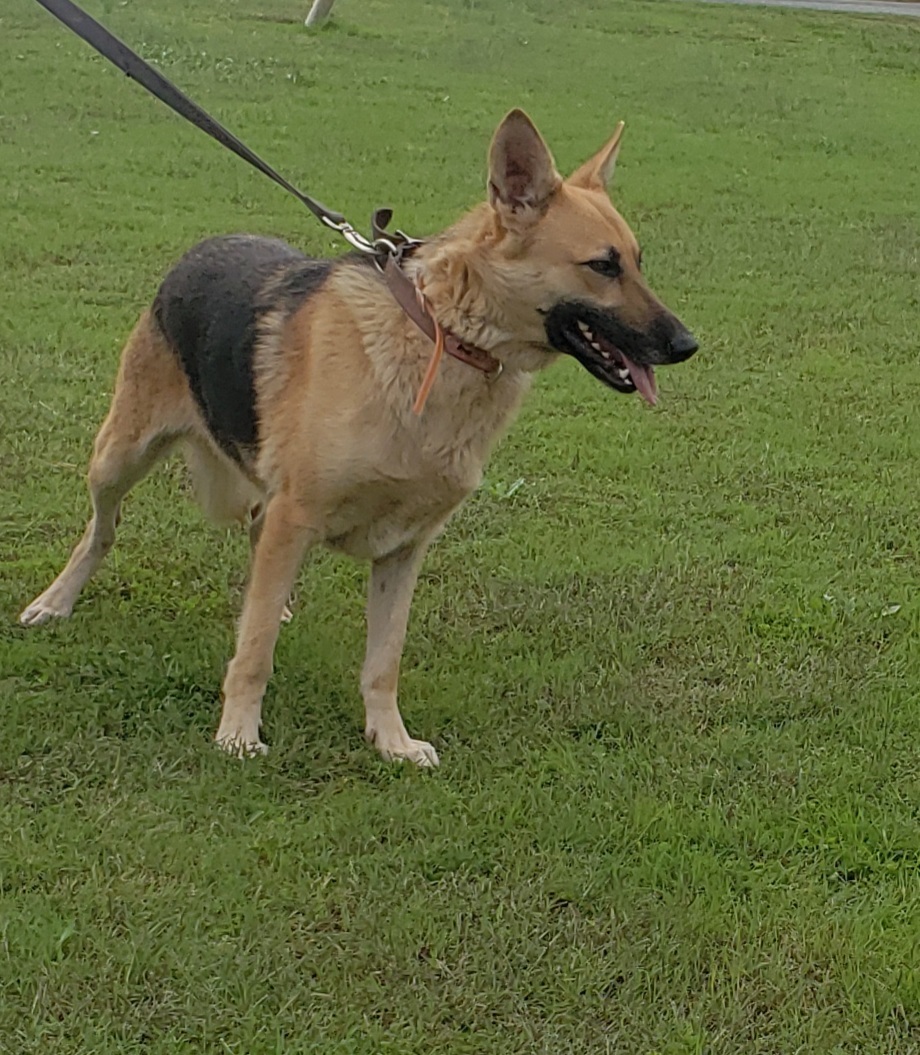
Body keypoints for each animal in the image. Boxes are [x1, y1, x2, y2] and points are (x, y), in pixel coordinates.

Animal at [19, 109, 697, 766]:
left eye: (638, 262)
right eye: (603, 266)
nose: (688, 345)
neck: (442, 337)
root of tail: (205, 246)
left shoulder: (403, 549)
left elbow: (382, 663)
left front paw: (390, 741)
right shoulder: (301, 512)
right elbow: (256, 649)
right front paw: (237, 734)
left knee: (255, 538)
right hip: (117, 459)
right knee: (102, 532)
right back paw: (58, 601)